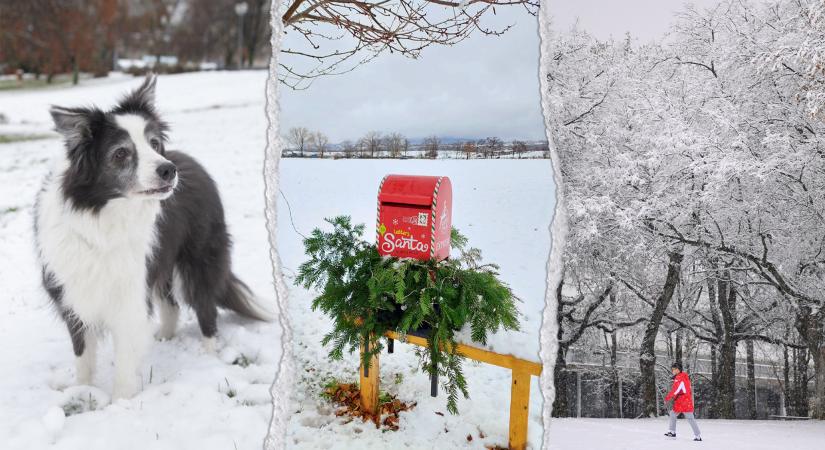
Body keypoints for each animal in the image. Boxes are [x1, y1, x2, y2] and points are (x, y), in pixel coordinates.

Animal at [34, 75, 270, 400]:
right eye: (121, 153)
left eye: (154, 143)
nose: (169, 170)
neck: (103, 216)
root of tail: (191, 161)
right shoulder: (73, 293)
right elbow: (82, 353)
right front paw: (81, 390)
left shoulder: (130, 294)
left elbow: (124, 360)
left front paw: (121, 402)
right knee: (171, 304)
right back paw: (165, 337)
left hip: (198, 260)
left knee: (206, 309)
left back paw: (209, 356)